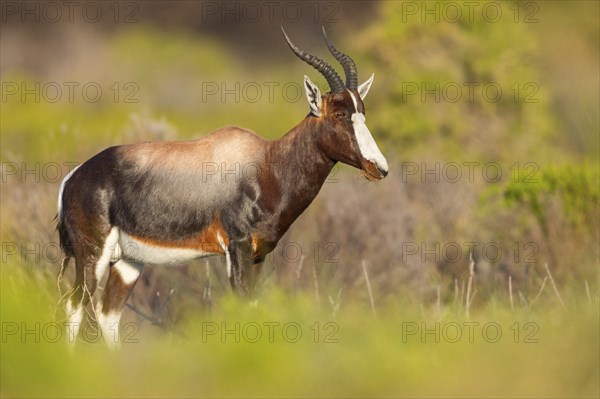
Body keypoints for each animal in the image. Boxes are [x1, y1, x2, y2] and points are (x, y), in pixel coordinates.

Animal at [58, 27, 390, 346]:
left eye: (362, 111)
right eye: (339, 114)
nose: (380, 167)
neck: (265, 163)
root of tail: (74, 177)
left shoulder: (258, 255)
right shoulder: (236, 248)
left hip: (129, 261)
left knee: (107, 314)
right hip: (92, 256)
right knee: (73, 306)